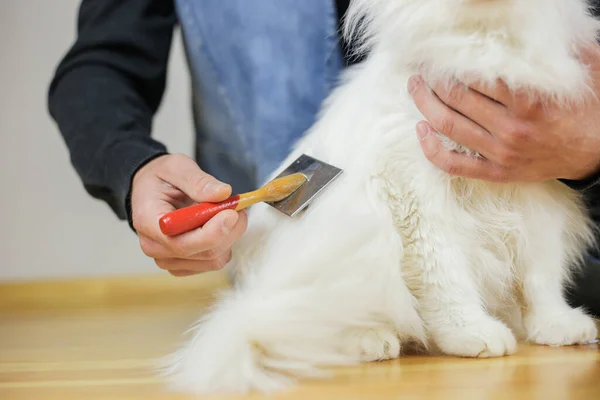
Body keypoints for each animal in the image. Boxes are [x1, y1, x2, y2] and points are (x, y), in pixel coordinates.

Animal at [162, 0, 596, 394]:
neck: (480, 41)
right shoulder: (416, 191)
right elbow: (448, 279)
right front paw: (472, 333)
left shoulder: (534, 187)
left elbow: (542, 278)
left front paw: (557, 326)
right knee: (306, 324)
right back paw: (373, 341)